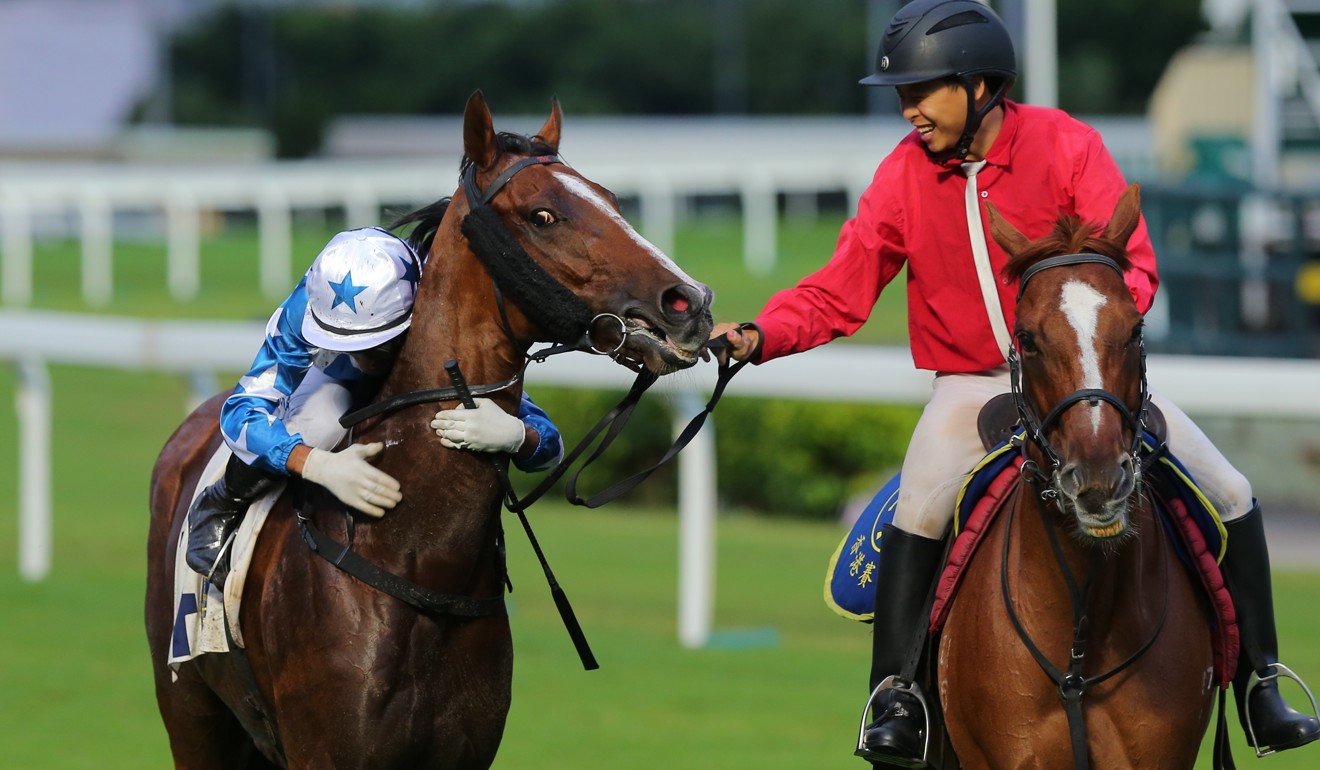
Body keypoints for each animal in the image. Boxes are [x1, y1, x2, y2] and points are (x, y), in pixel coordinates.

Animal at [147, 91, 712, 770]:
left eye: (612, 199)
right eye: (542, 215)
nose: (689, 302)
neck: (421, 564)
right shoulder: (323, 750)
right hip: (190, 712)